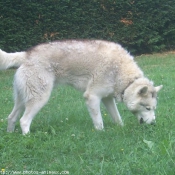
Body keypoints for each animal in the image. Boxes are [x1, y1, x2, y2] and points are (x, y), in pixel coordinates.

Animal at [6, 40, 163, 134]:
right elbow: (99, 122)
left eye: (154, 108)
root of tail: (27, 54)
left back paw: (10, 134)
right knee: (23, 121)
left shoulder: (107, 99)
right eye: (147, 108)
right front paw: (101, 134)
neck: (124, 75)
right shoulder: (92, 97)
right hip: (39, 99)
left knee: (11, 117)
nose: (154, 124)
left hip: (22, 101)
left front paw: (121, 128)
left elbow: (118, 118)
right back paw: (28, 138)